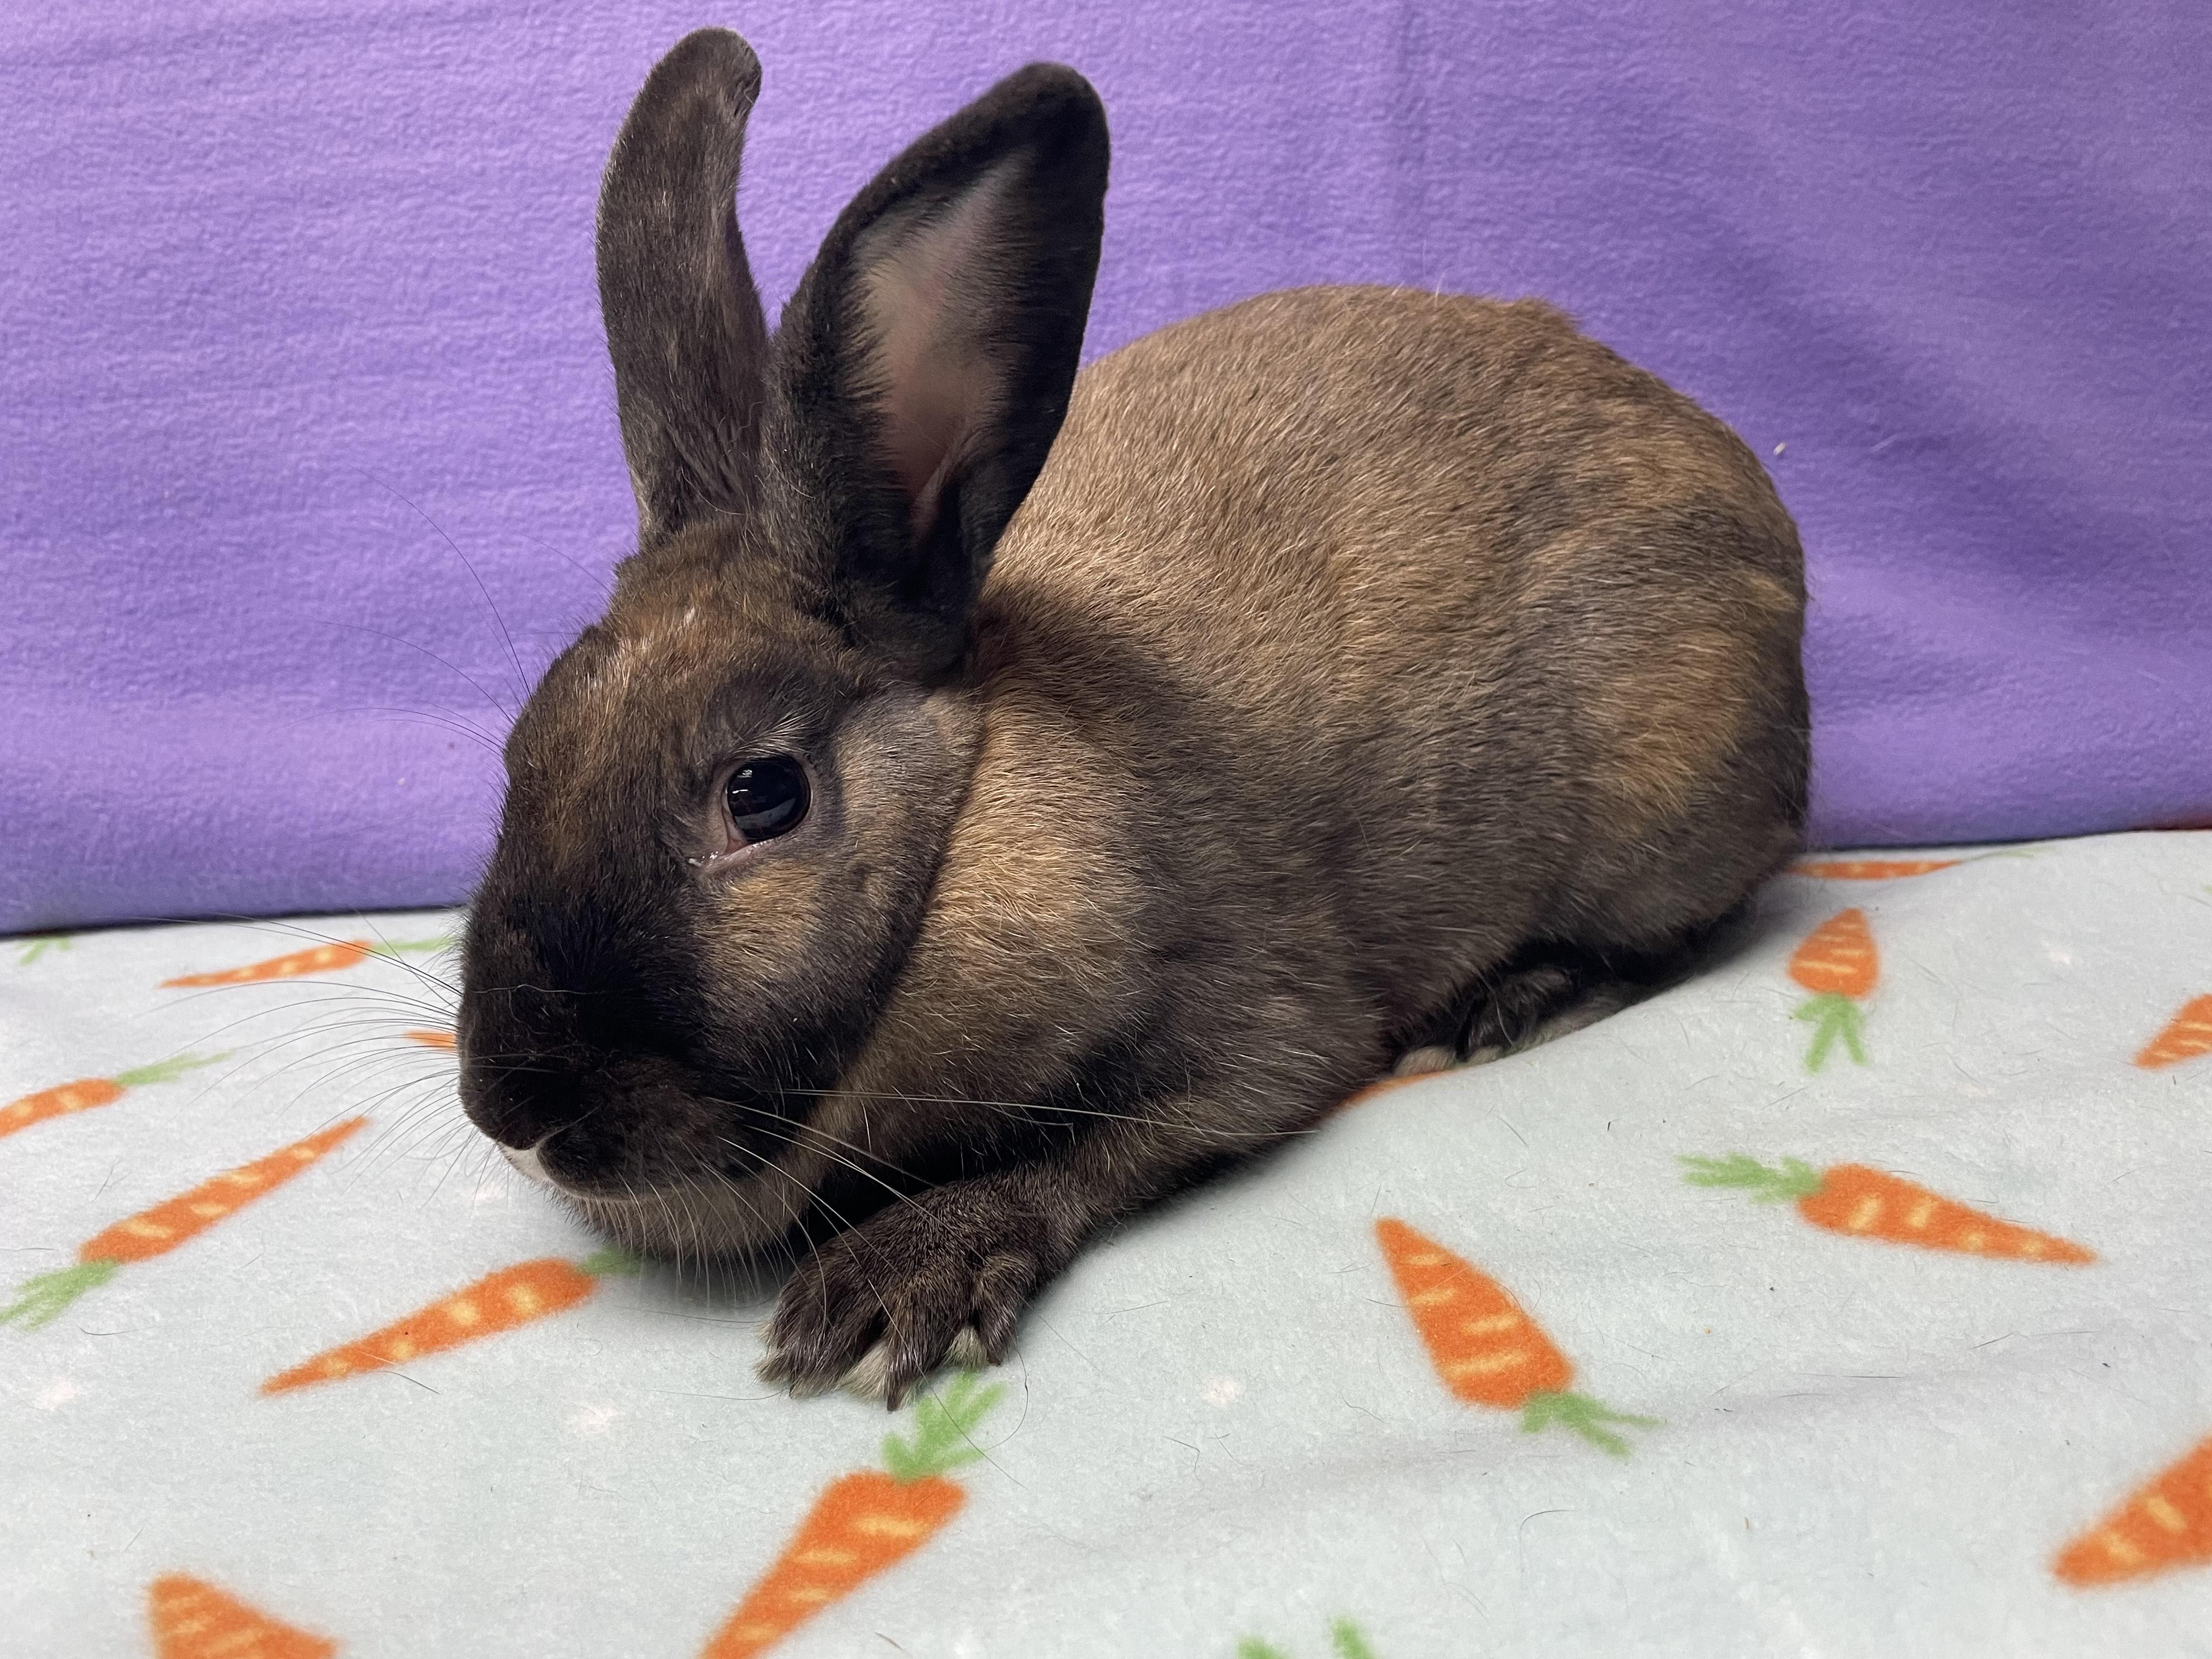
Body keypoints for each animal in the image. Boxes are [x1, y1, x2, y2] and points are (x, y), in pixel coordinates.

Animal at [456, 27, 1809, 1408]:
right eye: (523, 752)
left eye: (762, 795)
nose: (516, 1115)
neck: (963, 824)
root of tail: (1749, 504)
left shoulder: (1256, 1025)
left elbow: (1098, 1152)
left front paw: (897, 1284)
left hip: (1665, 787)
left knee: (1702, 918)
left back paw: (1516, 1004)